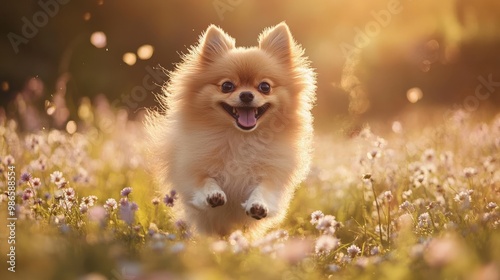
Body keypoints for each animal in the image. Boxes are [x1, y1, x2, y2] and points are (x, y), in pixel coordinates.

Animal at [146, 21, 314, 237]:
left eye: (265, 87)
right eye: (227, 86)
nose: (246, 95)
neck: (241, 136)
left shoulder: (272, 174)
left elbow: (263, 189)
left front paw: (258, 204)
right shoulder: (192, 171)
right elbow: (205, 181)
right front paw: (213, 193)